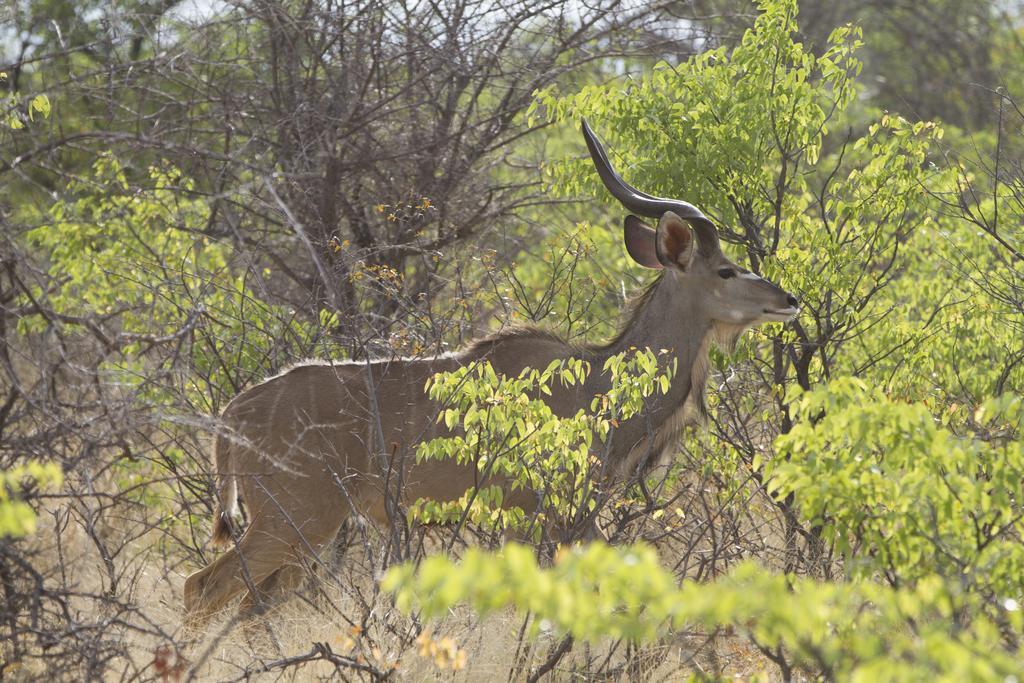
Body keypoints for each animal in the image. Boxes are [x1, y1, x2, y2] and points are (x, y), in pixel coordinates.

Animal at [184, 121, 798, 626]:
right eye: (726, 270)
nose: (788, 300)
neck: (595, 383)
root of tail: (234, 414)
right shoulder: (540, 516)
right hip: (295, 520)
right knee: (202, 587)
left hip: (305, 533)